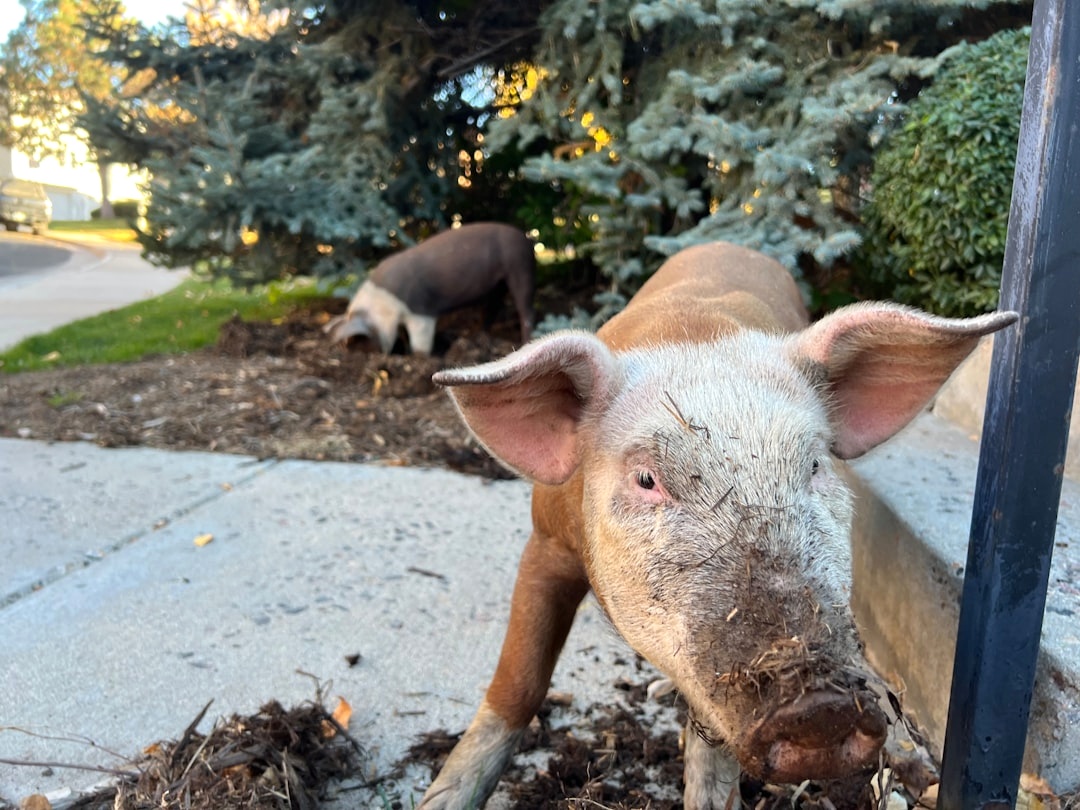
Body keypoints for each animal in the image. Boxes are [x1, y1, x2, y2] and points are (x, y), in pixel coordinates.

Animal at [324, 222, 535, 354]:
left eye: (362, 339)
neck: (383, 307)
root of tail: (526, 238)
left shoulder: (421, 311)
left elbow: (421, 341)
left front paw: (419, 358)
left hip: (520, 266)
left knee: (525, 310)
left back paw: (525, 343)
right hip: (497, 286)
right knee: (492, 309)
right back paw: (479, 337)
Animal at [420, 241, 1017, 810]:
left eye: (814, 466)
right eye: (646, 479)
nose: (821, 708)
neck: (695, 334)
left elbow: (712, 745)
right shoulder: (544, 541)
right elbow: (519, 682)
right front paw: (443, 799)